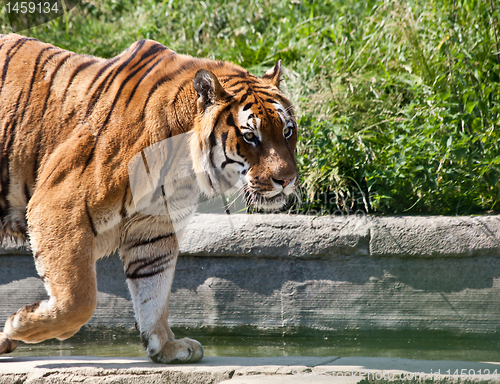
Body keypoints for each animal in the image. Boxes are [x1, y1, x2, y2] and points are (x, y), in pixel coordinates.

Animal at [0, 33, 296, 364]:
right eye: (250, 137)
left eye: (287, 132)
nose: (286, 180)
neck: (183, 162)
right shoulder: (58, 207)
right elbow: (78, 300)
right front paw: (19, 326)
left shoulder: (154, 226)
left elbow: (153, 290)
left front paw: (166, 346)